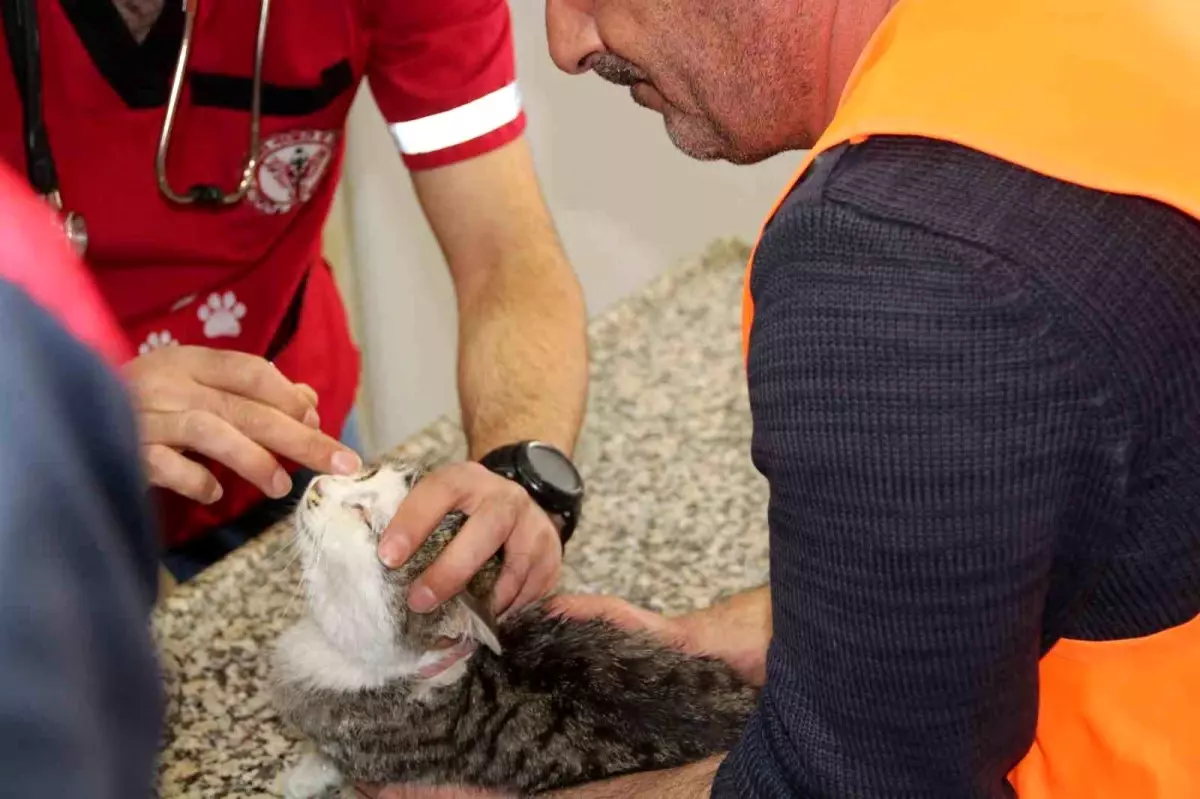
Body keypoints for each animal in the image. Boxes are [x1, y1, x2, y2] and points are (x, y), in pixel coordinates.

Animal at [273, 458, 758, 791]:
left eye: (367, 521)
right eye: (365, 474)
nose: (317, 485)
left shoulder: (366, 753)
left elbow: (331, 759)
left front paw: (298, 777)